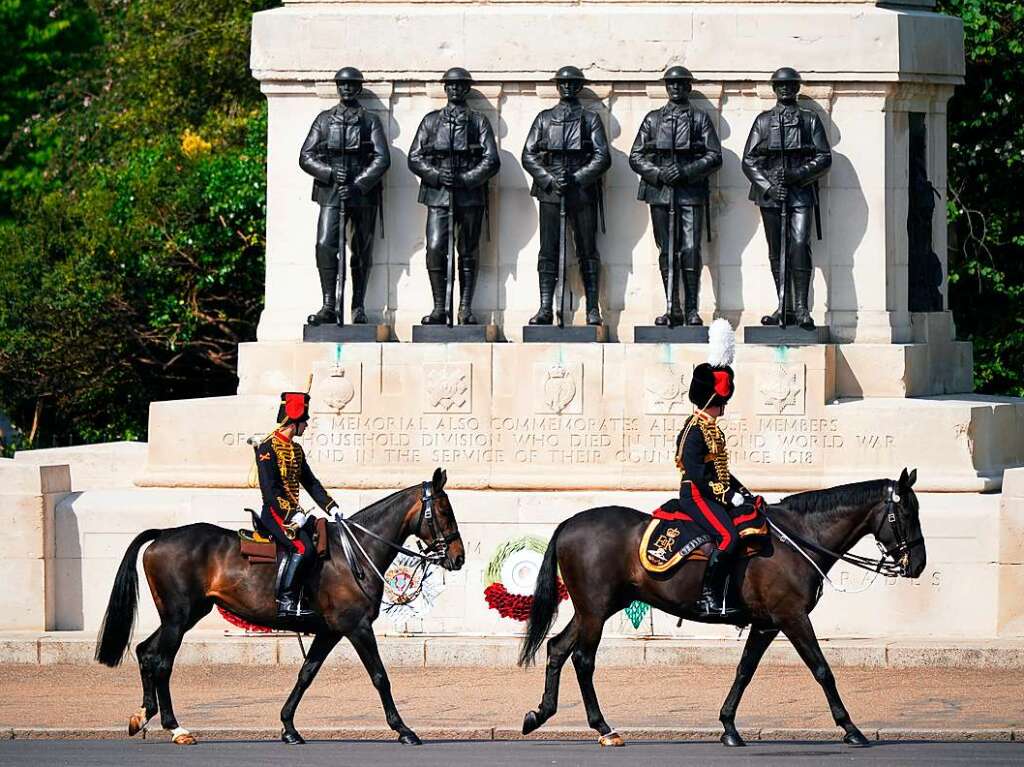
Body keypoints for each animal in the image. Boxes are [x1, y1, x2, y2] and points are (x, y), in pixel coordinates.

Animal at [96, 466, 464, 741]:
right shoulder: (356, 627)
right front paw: (403, 729)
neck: (355, 552)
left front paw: (288, 726)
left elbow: (306, 674)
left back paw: (145, 716)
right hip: (179, 617)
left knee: (146, 652)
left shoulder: (330, 631)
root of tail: (164, 533)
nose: (458, 557)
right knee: (161, 662)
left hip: (184, 616)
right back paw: (175, 727)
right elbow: (379, 676)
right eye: (444, 510)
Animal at [520, 466, 929, 749]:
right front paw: (851, 728)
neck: (800, 538)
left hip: (598, 607)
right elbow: (822, 670)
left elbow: (744, 671)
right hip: (596, 609)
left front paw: (729, 726)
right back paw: (603, 728)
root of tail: (570, 522)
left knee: (558, 648)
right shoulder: (792, 617)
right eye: (907, 513)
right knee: (583, 659)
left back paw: (540, 714)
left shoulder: (766, 624)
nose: (919, 564)